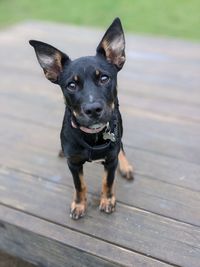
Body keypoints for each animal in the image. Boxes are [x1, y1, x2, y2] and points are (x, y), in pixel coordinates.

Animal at [29, 17, 133, 221]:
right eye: (71, 85)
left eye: (104, 78)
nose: (93, 110)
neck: (92, 135)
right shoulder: (74, 164)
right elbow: (79, 186)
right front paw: (79, 204)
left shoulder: (110, 160)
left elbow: (108, 181)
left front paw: (108, 200)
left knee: (122, 146)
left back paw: (125, 166)